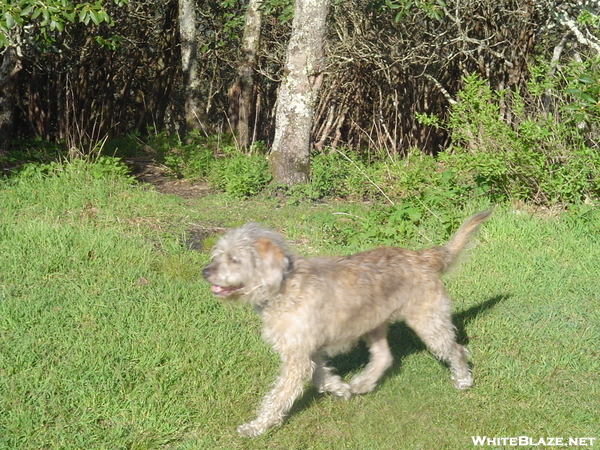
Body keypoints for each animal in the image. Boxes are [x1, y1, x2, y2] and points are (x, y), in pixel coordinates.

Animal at [203, 211, 492, 436]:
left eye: (234, 258)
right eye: (218, 254)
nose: (205, 271)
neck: (282, 286)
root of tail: (422, 256)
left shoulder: (297, 357)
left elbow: (277, 396)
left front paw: (256, 427)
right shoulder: (308, 351)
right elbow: (320, 377)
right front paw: (340, 388)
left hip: (428, 322)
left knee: (457, 349)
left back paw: (463, 380)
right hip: (373, 325)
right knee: (385, 357)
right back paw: (362, 384)